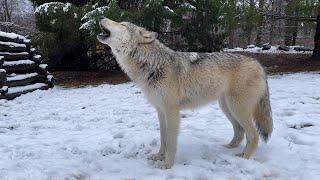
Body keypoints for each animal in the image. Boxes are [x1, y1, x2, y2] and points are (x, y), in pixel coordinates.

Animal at [97, 17, 272, 169]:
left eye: (122, 24)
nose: (102, 17)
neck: (152, 64)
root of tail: (258, 64)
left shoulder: (172, 111)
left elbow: (171, 142)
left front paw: (167, 165)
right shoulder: (160, 111)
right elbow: (163, 138)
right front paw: (159, 156)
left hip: (237, 109)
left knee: (253, 135)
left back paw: (245, 157)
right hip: (227, 108)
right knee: (240, 131)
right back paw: (229, 147)